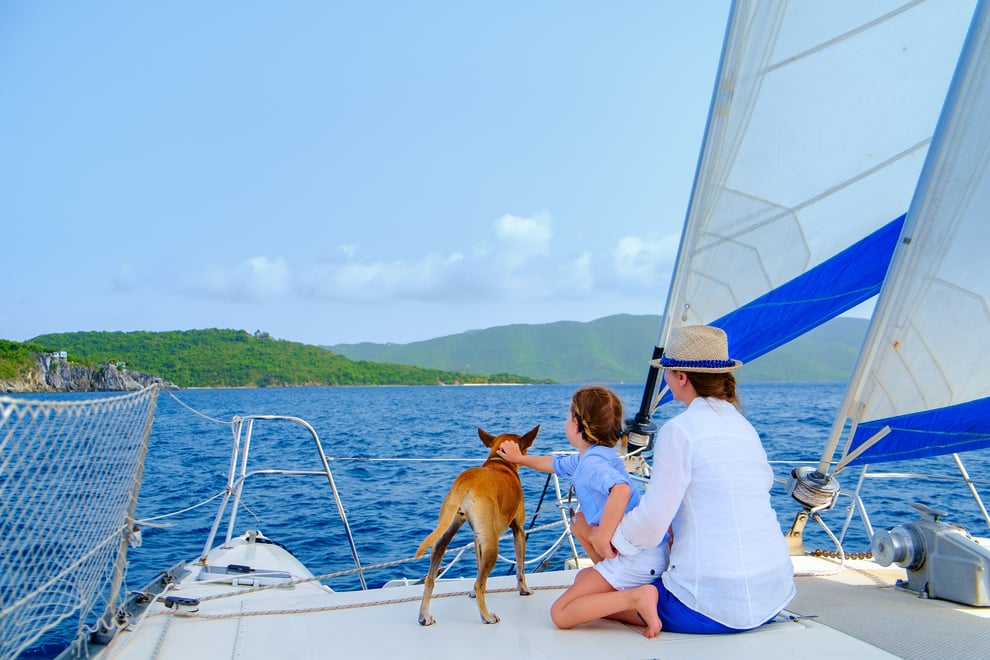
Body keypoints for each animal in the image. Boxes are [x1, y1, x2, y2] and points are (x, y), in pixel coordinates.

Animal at [418, 426, 544, 628]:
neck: (500, 463)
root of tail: (466, 480)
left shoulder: (478, 538)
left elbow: (478, 570)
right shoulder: (519, 530)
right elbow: (520, 567)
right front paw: (524, 589)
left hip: (443, 537)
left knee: (430, 578)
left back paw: (424, 616)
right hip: (493, 545)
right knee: (480, 583)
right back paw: (486, 616)